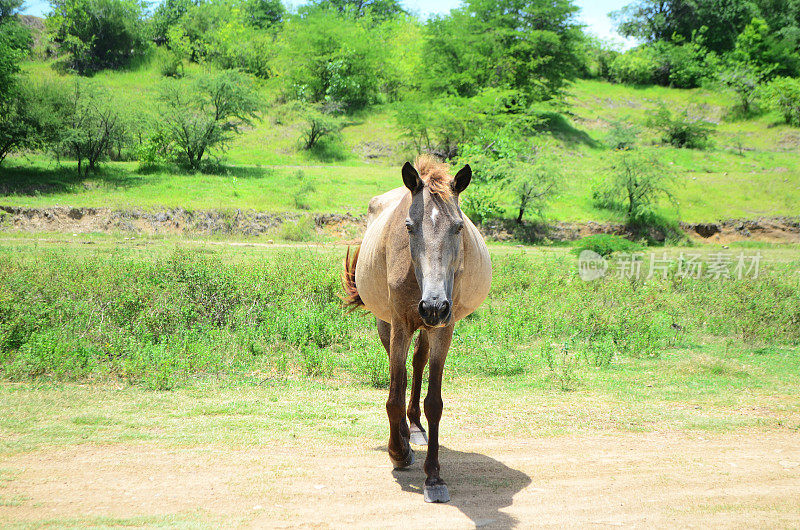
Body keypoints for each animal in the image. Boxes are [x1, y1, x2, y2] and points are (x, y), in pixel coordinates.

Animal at [340, 155, 490, 502]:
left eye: (458, 227)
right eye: (409, 226)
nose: (434, 304)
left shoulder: (443, 328)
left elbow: (434, 402)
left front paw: (433, 476)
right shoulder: (399, 324)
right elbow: (393, 395)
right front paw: (399, 452)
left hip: (428, 326)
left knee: (418, 363)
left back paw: (416, 429)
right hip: (391, 323)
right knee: (403, 372)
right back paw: (406, 437)